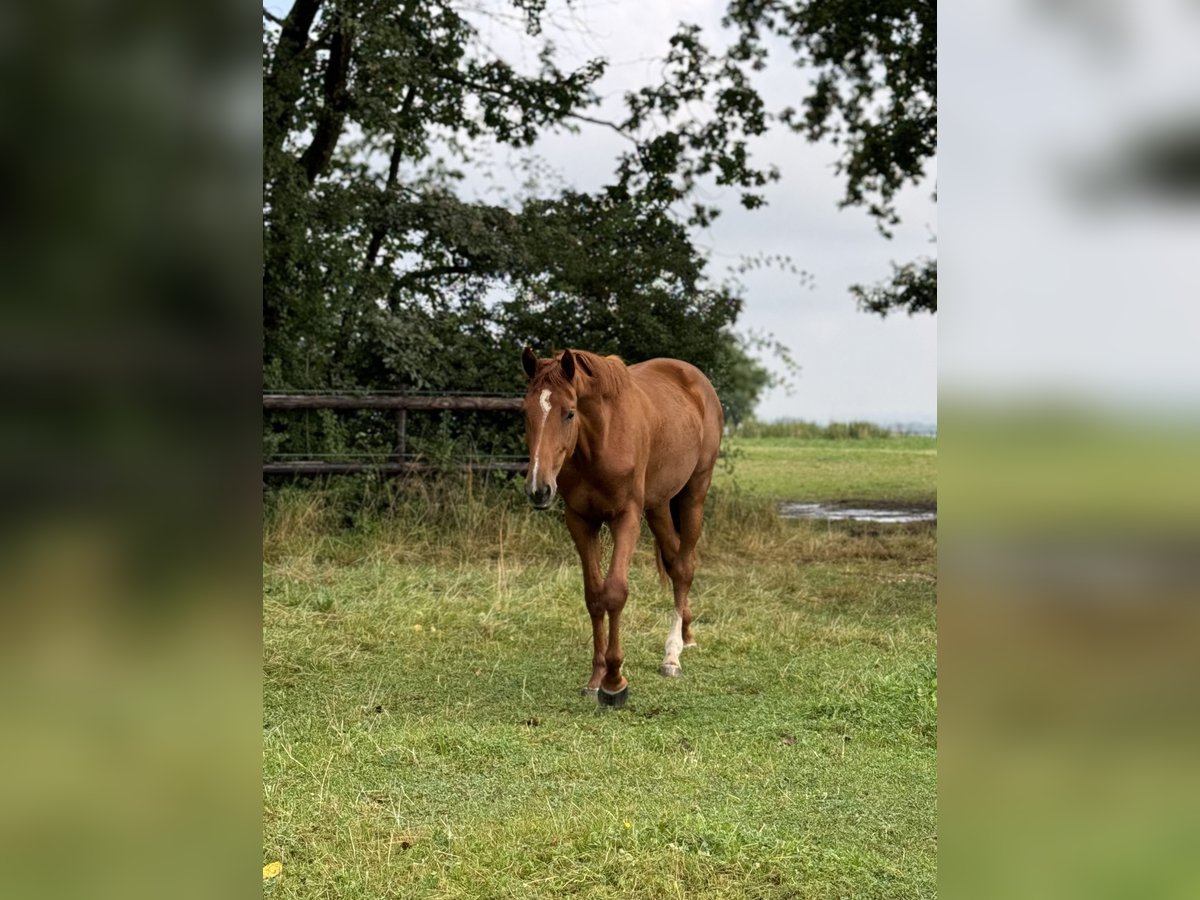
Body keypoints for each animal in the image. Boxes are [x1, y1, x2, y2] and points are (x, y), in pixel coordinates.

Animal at [518, 348, 720, 710]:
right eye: (525, 412)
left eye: (569, 413)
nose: (538, 489)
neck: (600, 440)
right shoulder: (580, 521)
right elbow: (594, 596)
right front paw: (596, 678)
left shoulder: (626, 517)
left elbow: (614, 592)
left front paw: (614, 683)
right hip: (658, 505)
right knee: (673, 561)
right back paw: (686, 634)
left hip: (694, 492)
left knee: (684, 568)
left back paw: (672, 656)